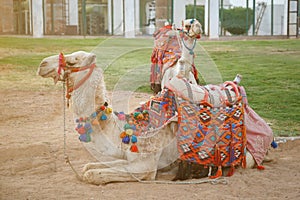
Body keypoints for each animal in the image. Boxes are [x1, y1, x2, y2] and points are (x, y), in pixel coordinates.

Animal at [37, 50, 272, 185]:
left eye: (73, 61)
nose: (42, 64)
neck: (123, 130)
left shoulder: (146, 165)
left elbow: (93, 175)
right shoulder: (126, 157)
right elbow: (89, 167)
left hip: (247, 155)